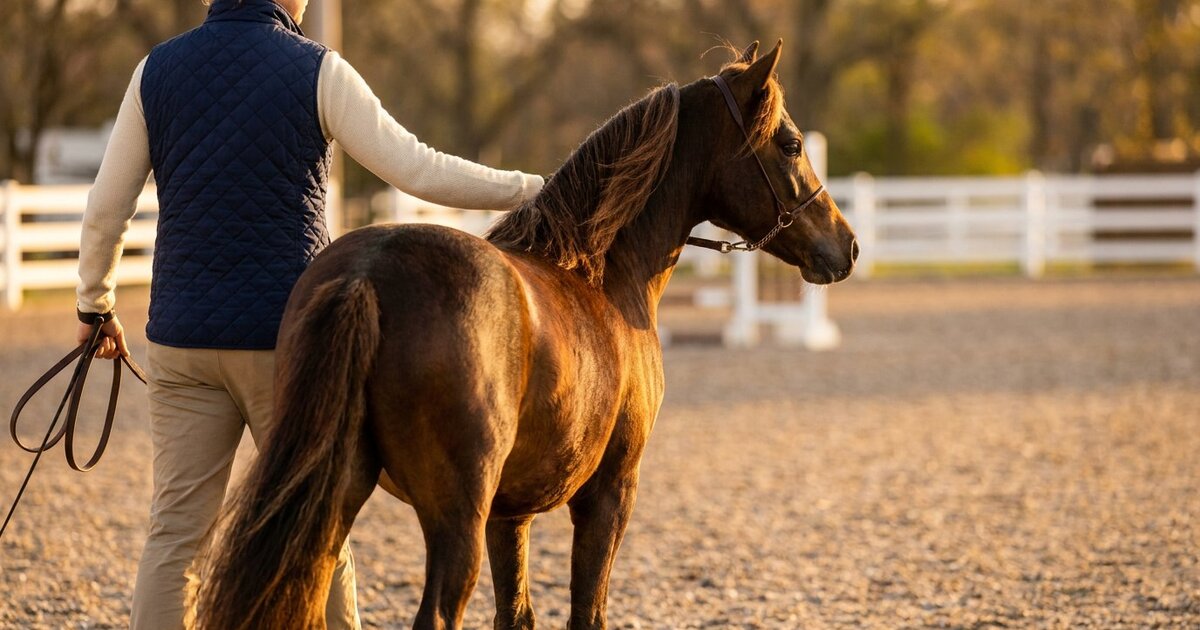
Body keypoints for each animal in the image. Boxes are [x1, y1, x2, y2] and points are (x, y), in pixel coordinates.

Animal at [193, 40, 857, 630]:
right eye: (791, 144)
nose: (845, 246)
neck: (602, 275)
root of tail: (368, 273)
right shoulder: (608, 495)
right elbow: (587, 612)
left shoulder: (508, 516)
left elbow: (516, 613)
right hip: (451, 517)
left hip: (334, 500)